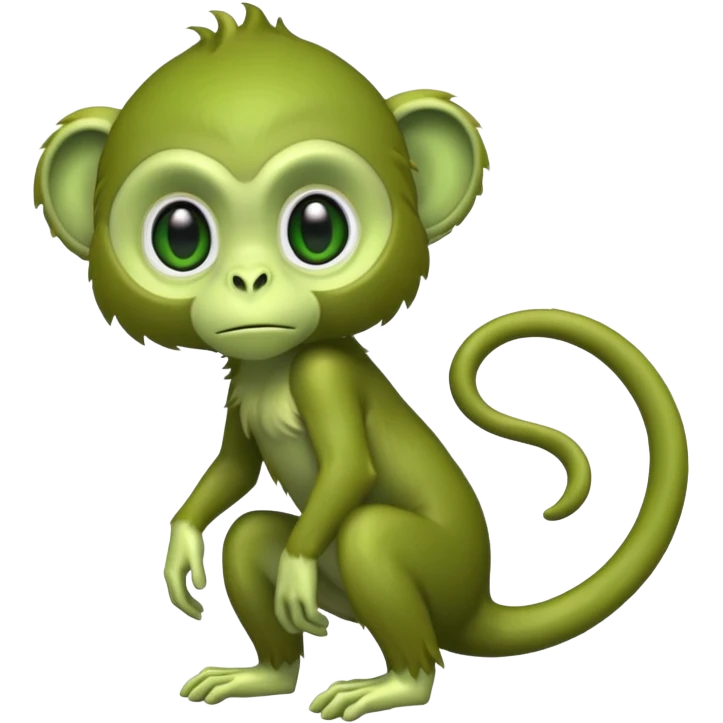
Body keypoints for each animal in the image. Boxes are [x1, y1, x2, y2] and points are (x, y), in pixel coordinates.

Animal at [32, 5, 689, 720]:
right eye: (182, 238)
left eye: (317, 231)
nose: (250, 280)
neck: (275, 367)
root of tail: (474, 606)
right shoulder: (241, 385)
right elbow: (234, 469)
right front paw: (180, 548)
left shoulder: (322, 374)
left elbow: (349, 467)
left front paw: (290, 566)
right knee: (250, 536)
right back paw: (265, 674)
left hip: (430, 577)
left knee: (369, 536)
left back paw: (396, 683)